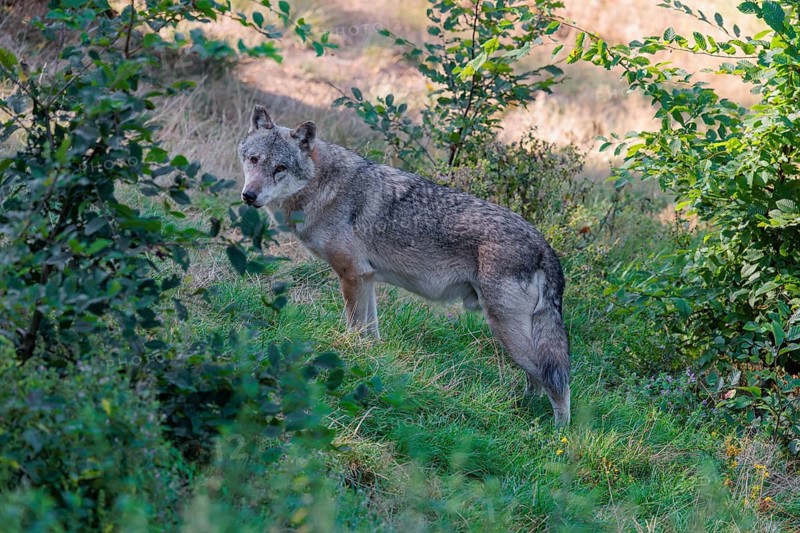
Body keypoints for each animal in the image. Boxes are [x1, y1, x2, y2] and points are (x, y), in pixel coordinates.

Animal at [238, 106, 571, 424]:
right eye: (254, 160)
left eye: (280, 168)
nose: (249, 195)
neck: (324, 186)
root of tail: (545, 246)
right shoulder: (366, 278)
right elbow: (370, 333)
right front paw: (368, 361)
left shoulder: (351, 275)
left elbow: (353, 329)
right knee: (537, 382)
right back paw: (521, 411)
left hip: (506, 330)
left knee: (558, 384)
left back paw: (557, 436)